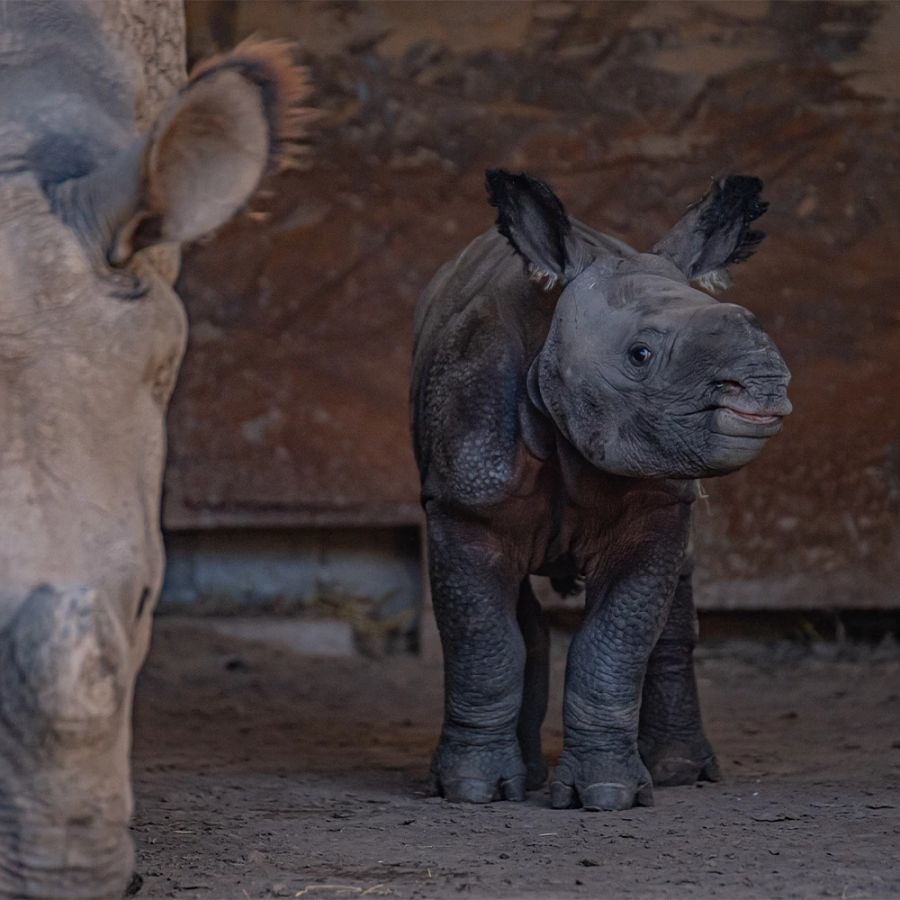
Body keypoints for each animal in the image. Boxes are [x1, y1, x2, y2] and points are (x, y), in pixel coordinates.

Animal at [412, 171, 792, 816]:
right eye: (640, 355)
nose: (764, 384)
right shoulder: (465, 499)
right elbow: (483, 641)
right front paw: (471, 790)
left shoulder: (659, 501)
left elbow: (614, 645)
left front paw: (609, 794)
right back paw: (524, 777)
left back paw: (677, 772)